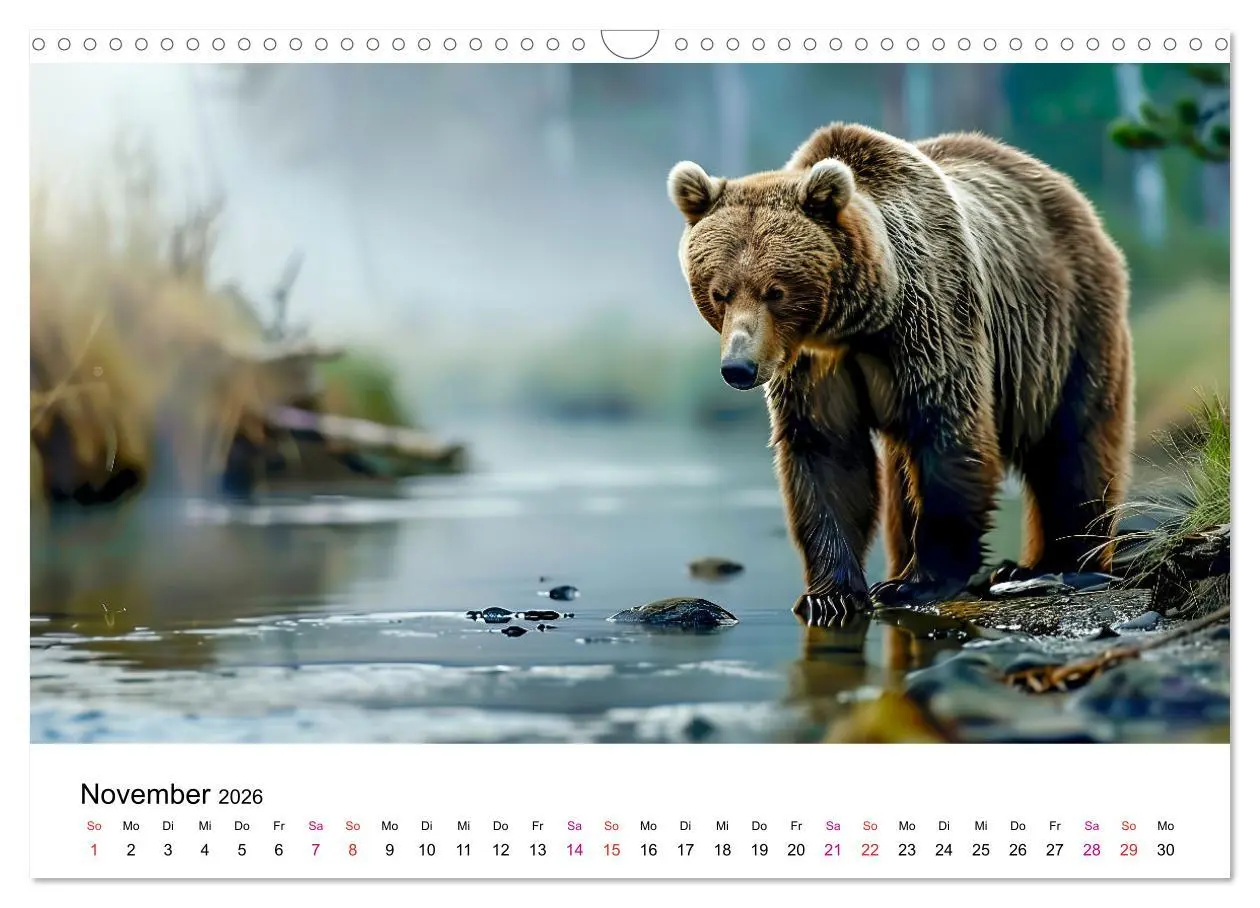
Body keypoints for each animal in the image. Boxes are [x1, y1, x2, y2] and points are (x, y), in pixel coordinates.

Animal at [667, 122, 1134, 615]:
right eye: (719, 292)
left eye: (775, 290)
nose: (739, 367)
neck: (855, 324)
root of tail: (1069, 191)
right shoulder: (818, 367)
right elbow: (827, 454)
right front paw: (829, 595)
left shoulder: (930, 325)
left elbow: (947, 433)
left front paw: (917, 582)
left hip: (1067, 327)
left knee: (1074, 443)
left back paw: (1054, 565)